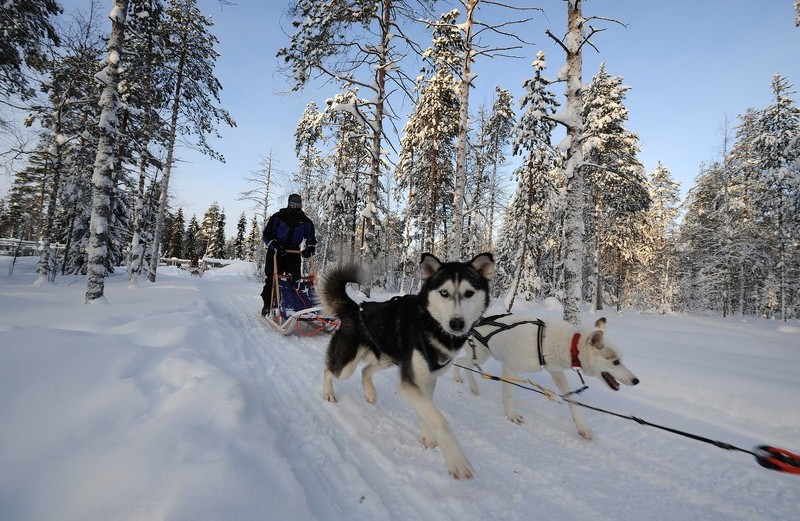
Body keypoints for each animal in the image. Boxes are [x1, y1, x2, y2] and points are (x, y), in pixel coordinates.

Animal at [319, 252, 495, 479]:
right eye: (444, 292)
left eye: (469, 293)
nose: (457, 323)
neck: (431, 325)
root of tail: (355, 308)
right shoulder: (409, 382)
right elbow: (439, 419)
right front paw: (457, 460)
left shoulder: (427, 380)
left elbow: (427, 413)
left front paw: (428, 438)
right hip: (346, 366)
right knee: (328, 370)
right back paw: (329, 393)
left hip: (386, 359)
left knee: (366, 370)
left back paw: (370, 394)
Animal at [452, 314, 639, 440]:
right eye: (615, 362)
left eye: (621, 359)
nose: (636, 380)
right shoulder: (510, 369)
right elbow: (508, 395)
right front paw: (511, 415)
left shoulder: (557, 373)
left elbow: (572, 401)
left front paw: (582, 427)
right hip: (481, 354)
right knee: (462, 362)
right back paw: (466, 383)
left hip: (481, 355)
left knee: (463, 362)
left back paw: (467, 383)